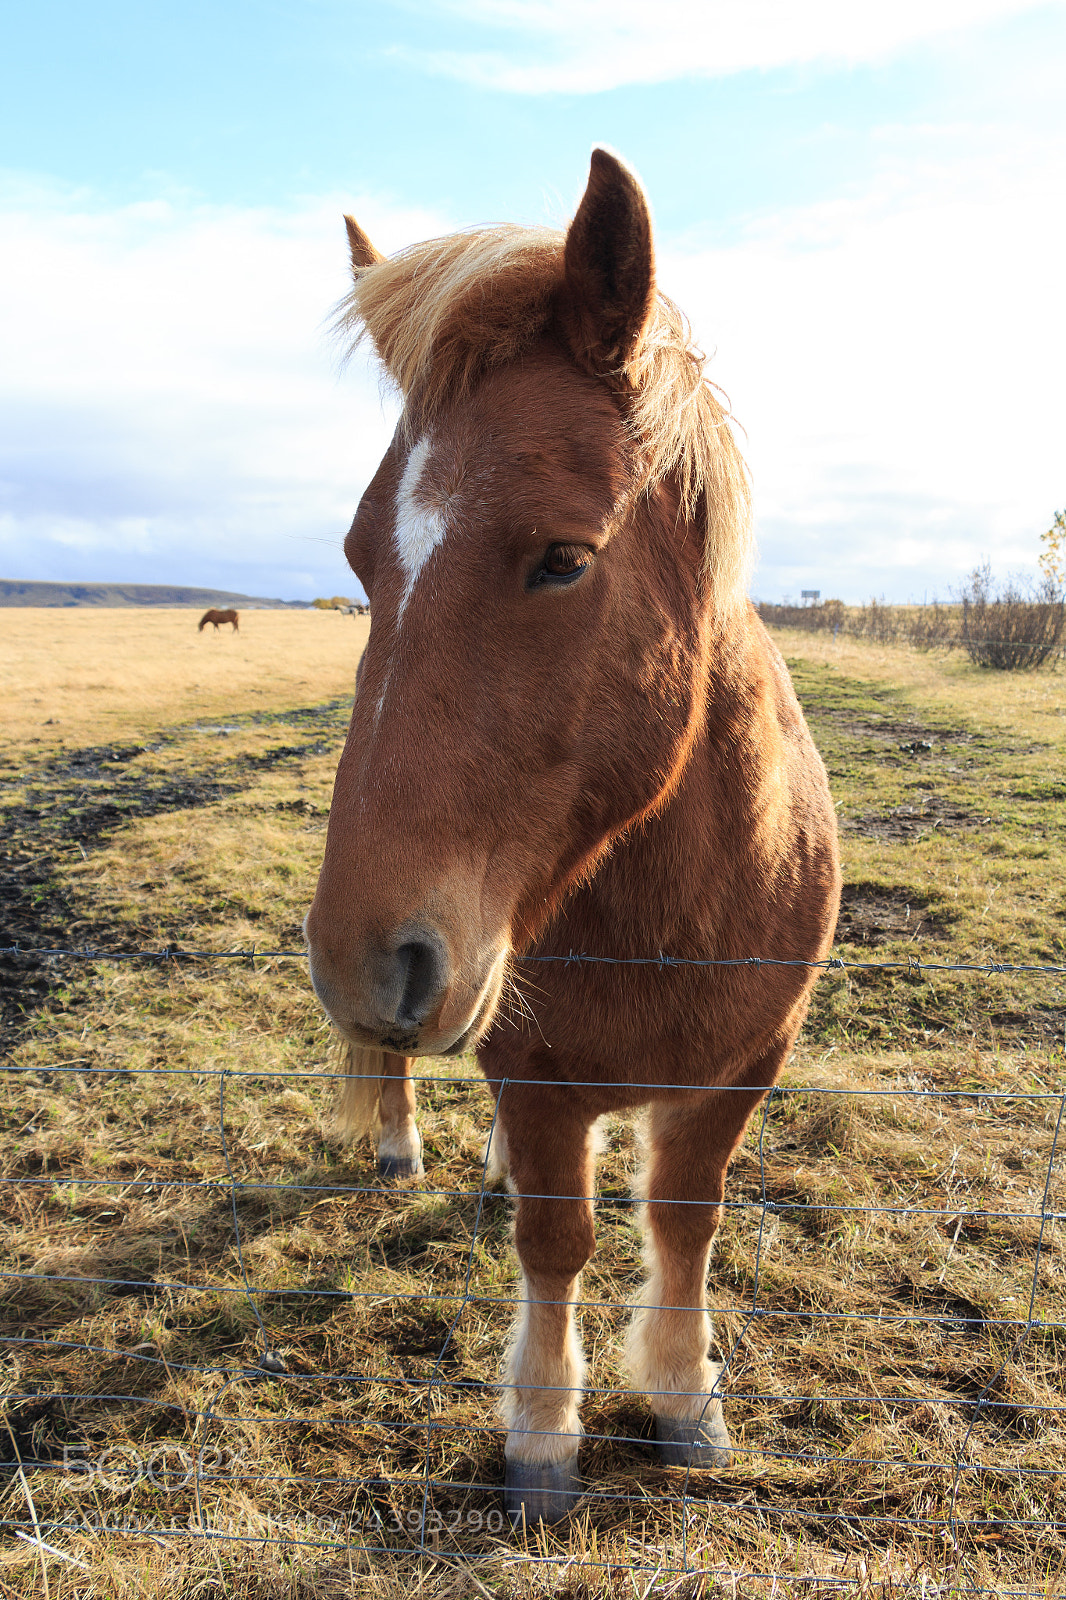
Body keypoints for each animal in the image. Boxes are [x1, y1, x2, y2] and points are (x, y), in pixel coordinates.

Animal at [305, 149, 841, 1525]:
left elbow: (683, 1218)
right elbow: (558, 1237)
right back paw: (403, 1144)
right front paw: (542, 1436)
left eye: (561, 557)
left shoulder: (742, 1063)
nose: (366, 963)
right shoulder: (536, 1074)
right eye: (360, 561)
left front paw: (686, 1399)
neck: (671, 912)